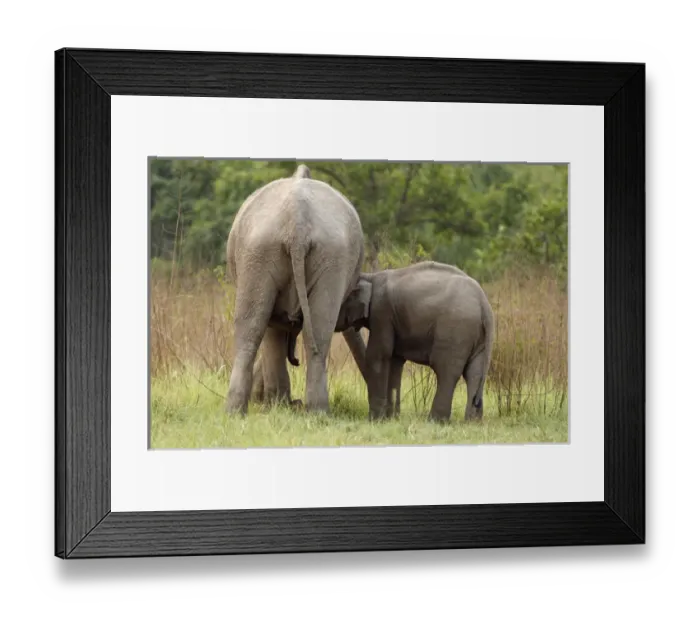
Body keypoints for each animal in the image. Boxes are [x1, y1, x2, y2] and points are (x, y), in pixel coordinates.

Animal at [225, 164, 368, 415]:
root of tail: (297, 221)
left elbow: (274, 328)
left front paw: (278, 405)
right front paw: (279, 405)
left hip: (285, 253)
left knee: (257, 326)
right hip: (268, 250)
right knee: (263, 327)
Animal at [334, 261, 495, 423]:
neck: (370, 277)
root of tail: (485, 305)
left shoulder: (381, 312)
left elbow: (378, 355)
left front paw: (376, 420)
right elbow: (395, 360)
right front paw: (392, 418)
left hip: (456, 330)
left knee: (446, 371)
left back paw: (435, 421)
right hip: (477, 337)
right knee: (474, 374)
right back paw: (472, 422)